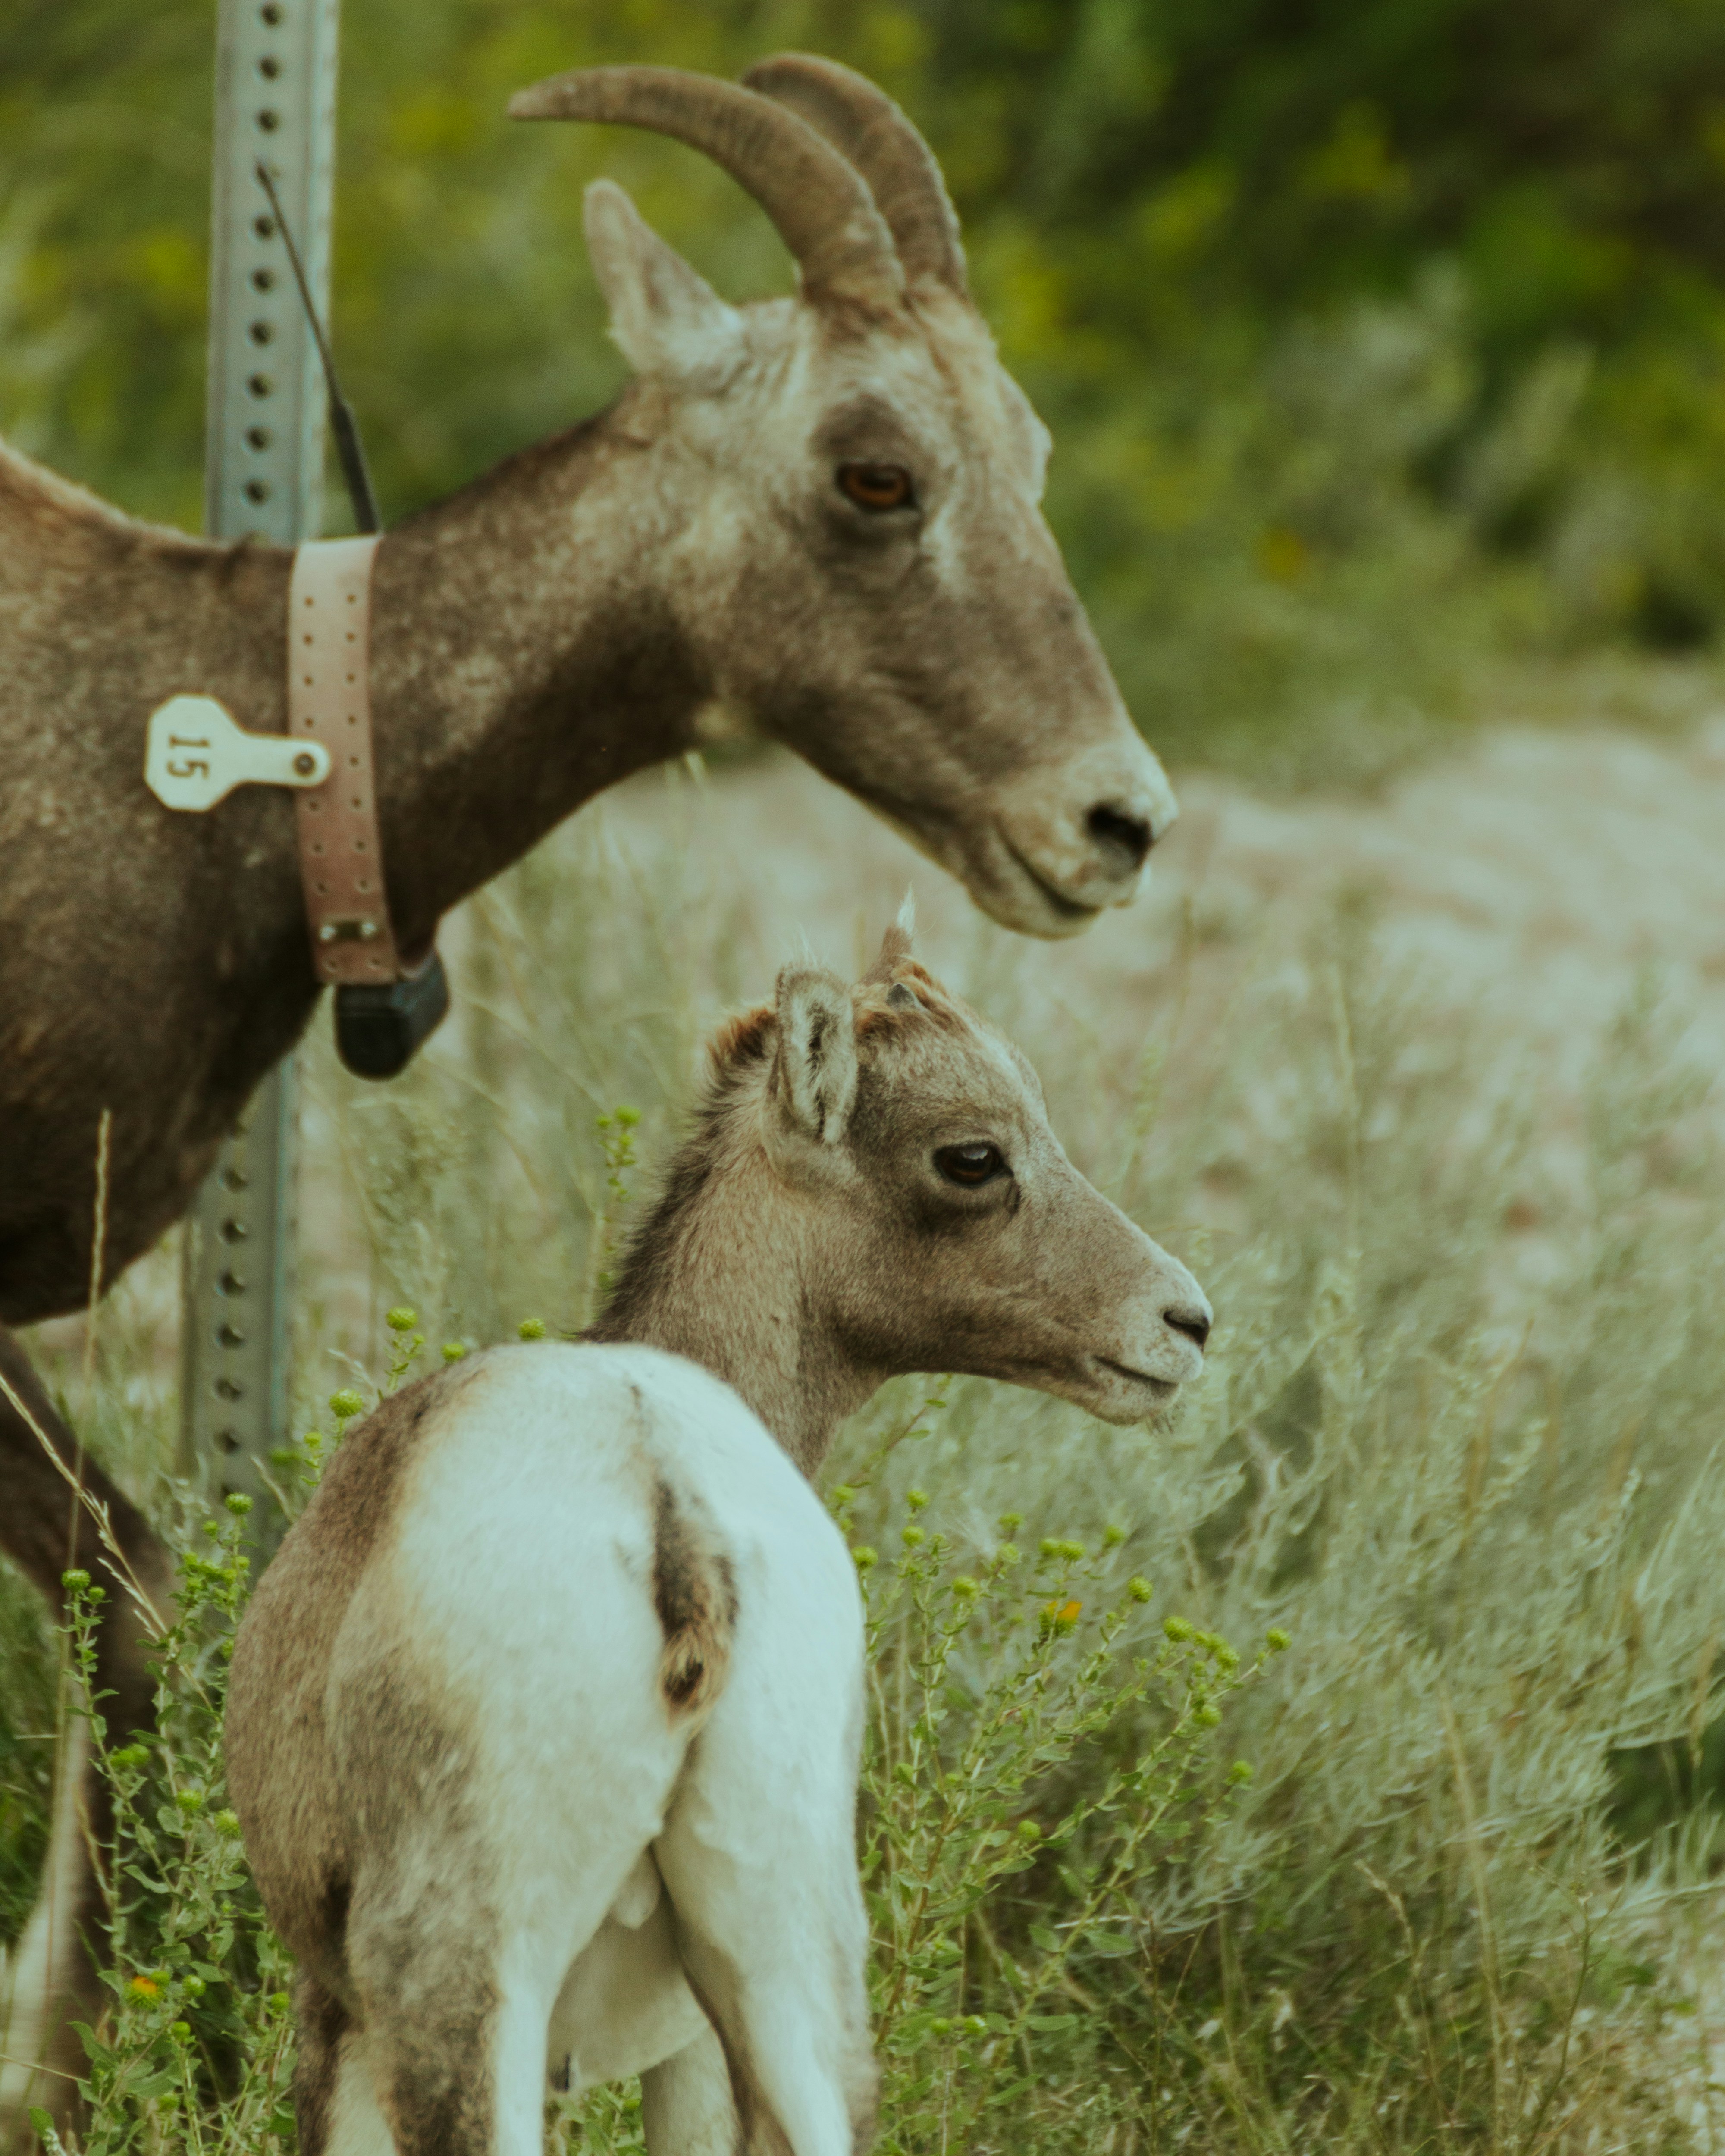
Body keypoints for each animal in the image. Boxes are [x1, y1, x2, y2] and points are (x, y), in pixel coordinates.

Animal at [223, 916, 1212, 2156]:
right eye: (973, 1155)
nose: (1185, 1323)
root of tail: (667, 1500)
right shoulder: (689, 2042)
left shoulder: (340, 2016)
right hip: (786, 1974)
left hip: (467, 1999)